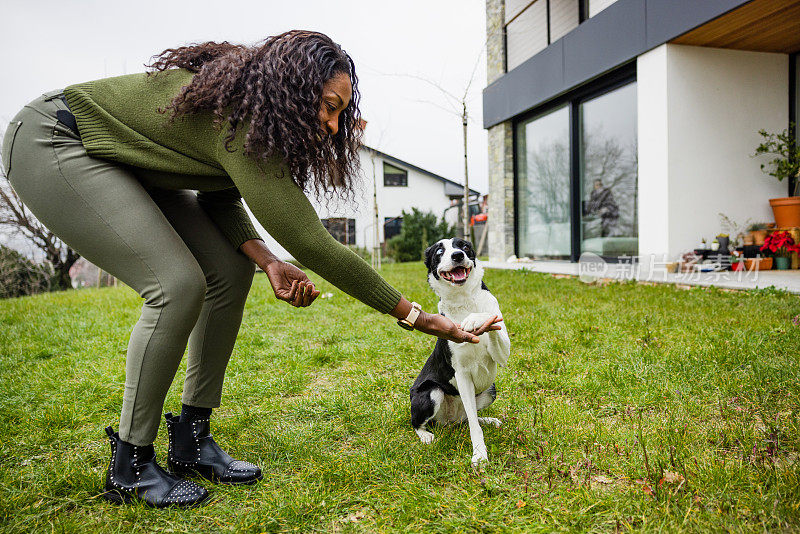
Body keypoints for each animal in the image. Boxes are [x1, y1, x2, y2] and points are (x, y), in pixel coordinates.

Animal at [410, 239, 510, 464]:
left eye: (464, 247)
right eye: (440, 251)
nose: (457, 255)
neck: (464, 300)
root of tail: (449, 421)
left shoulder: (502, 351)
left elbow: (488, 316)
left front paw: (475, 319)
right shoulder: (462, 374)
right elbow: (474, 426)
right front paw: (480, 454)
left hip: (490, 390)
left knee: (468, 417)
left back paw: (487, 419)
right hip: (430, 393)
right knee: (417, 422)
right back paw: (426, 435)